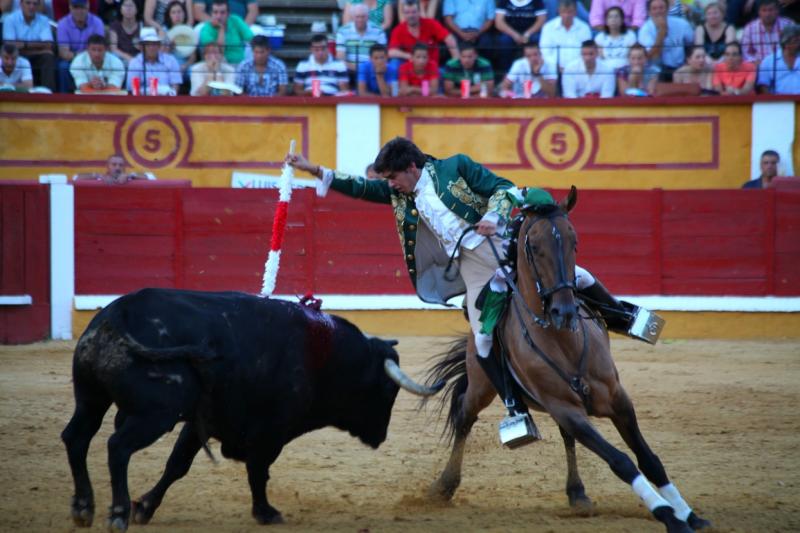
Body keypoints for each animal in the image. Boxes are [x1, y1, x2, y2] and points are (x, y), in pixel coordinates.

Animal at [61, 286, 438, 528]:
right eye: (388, 390)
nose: (381, 436)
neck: (325, 354)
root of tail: (118, 316)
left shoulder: (205, 421)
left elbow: (177, 465)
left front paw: (146, 507)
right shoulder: (270, 430)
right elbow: (259, 470)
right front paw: (266, 512)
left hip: (91, 398)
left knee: (76, 437)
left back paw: (83, 508)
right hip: (155, 414)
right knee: (117, 447)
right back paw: (116, 513)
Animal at [422, 187, 708, 532]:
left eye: (575, 241)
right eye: (533, 246)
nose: (565, 311)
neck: (565, 342)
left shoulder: (618, 398)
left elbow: (648, 458)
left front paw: (688, 514)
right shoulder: (566, 408)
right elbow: (622, 461)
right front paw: (668, 515)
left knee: (565, 438)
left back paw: (577, 493)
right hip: (482, 382)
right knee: (464, 415)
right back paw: (444, 486)